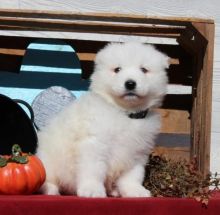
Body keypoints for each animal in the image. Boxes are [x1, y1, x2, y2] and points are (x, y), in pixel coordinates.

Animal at [37, 41, 169, 197]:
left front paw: (136, 191)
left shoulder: (137, 153)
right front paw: (92, 190)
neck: (124, 113)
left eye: (144, 70)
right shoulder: (95, 145)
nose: (130, 83)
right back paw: (49, 189)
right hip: (50, 161)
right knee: (48, 178)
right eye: (117, 69)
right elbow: (94, 170)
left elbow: (133, 176)